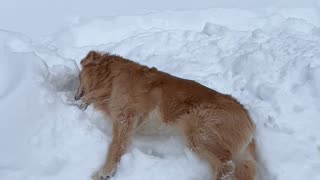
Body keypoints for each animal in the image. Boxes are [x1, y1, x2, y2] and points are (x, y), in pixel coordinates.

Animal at [74, 51, 256, 180]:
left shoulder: (126, 117)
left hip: (200, 135)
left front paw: (106, 170)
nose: (74, 96)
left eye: (79, 77)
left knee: (227, 167)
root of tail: (248, 117)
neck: (112, 78)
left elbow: (116, 146)